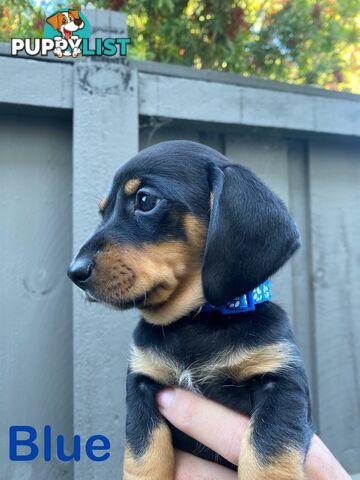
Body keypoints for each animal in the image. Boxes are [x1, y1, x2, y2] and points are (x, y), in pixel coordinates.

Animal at [67, 141, 312, 478]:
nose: (74, 272)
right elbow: (144, 458)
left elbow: (267, 456)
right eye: (103, 211)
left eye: (145, 200)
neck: (194, 321)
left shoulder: (281, 383)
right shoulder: (142, 385)